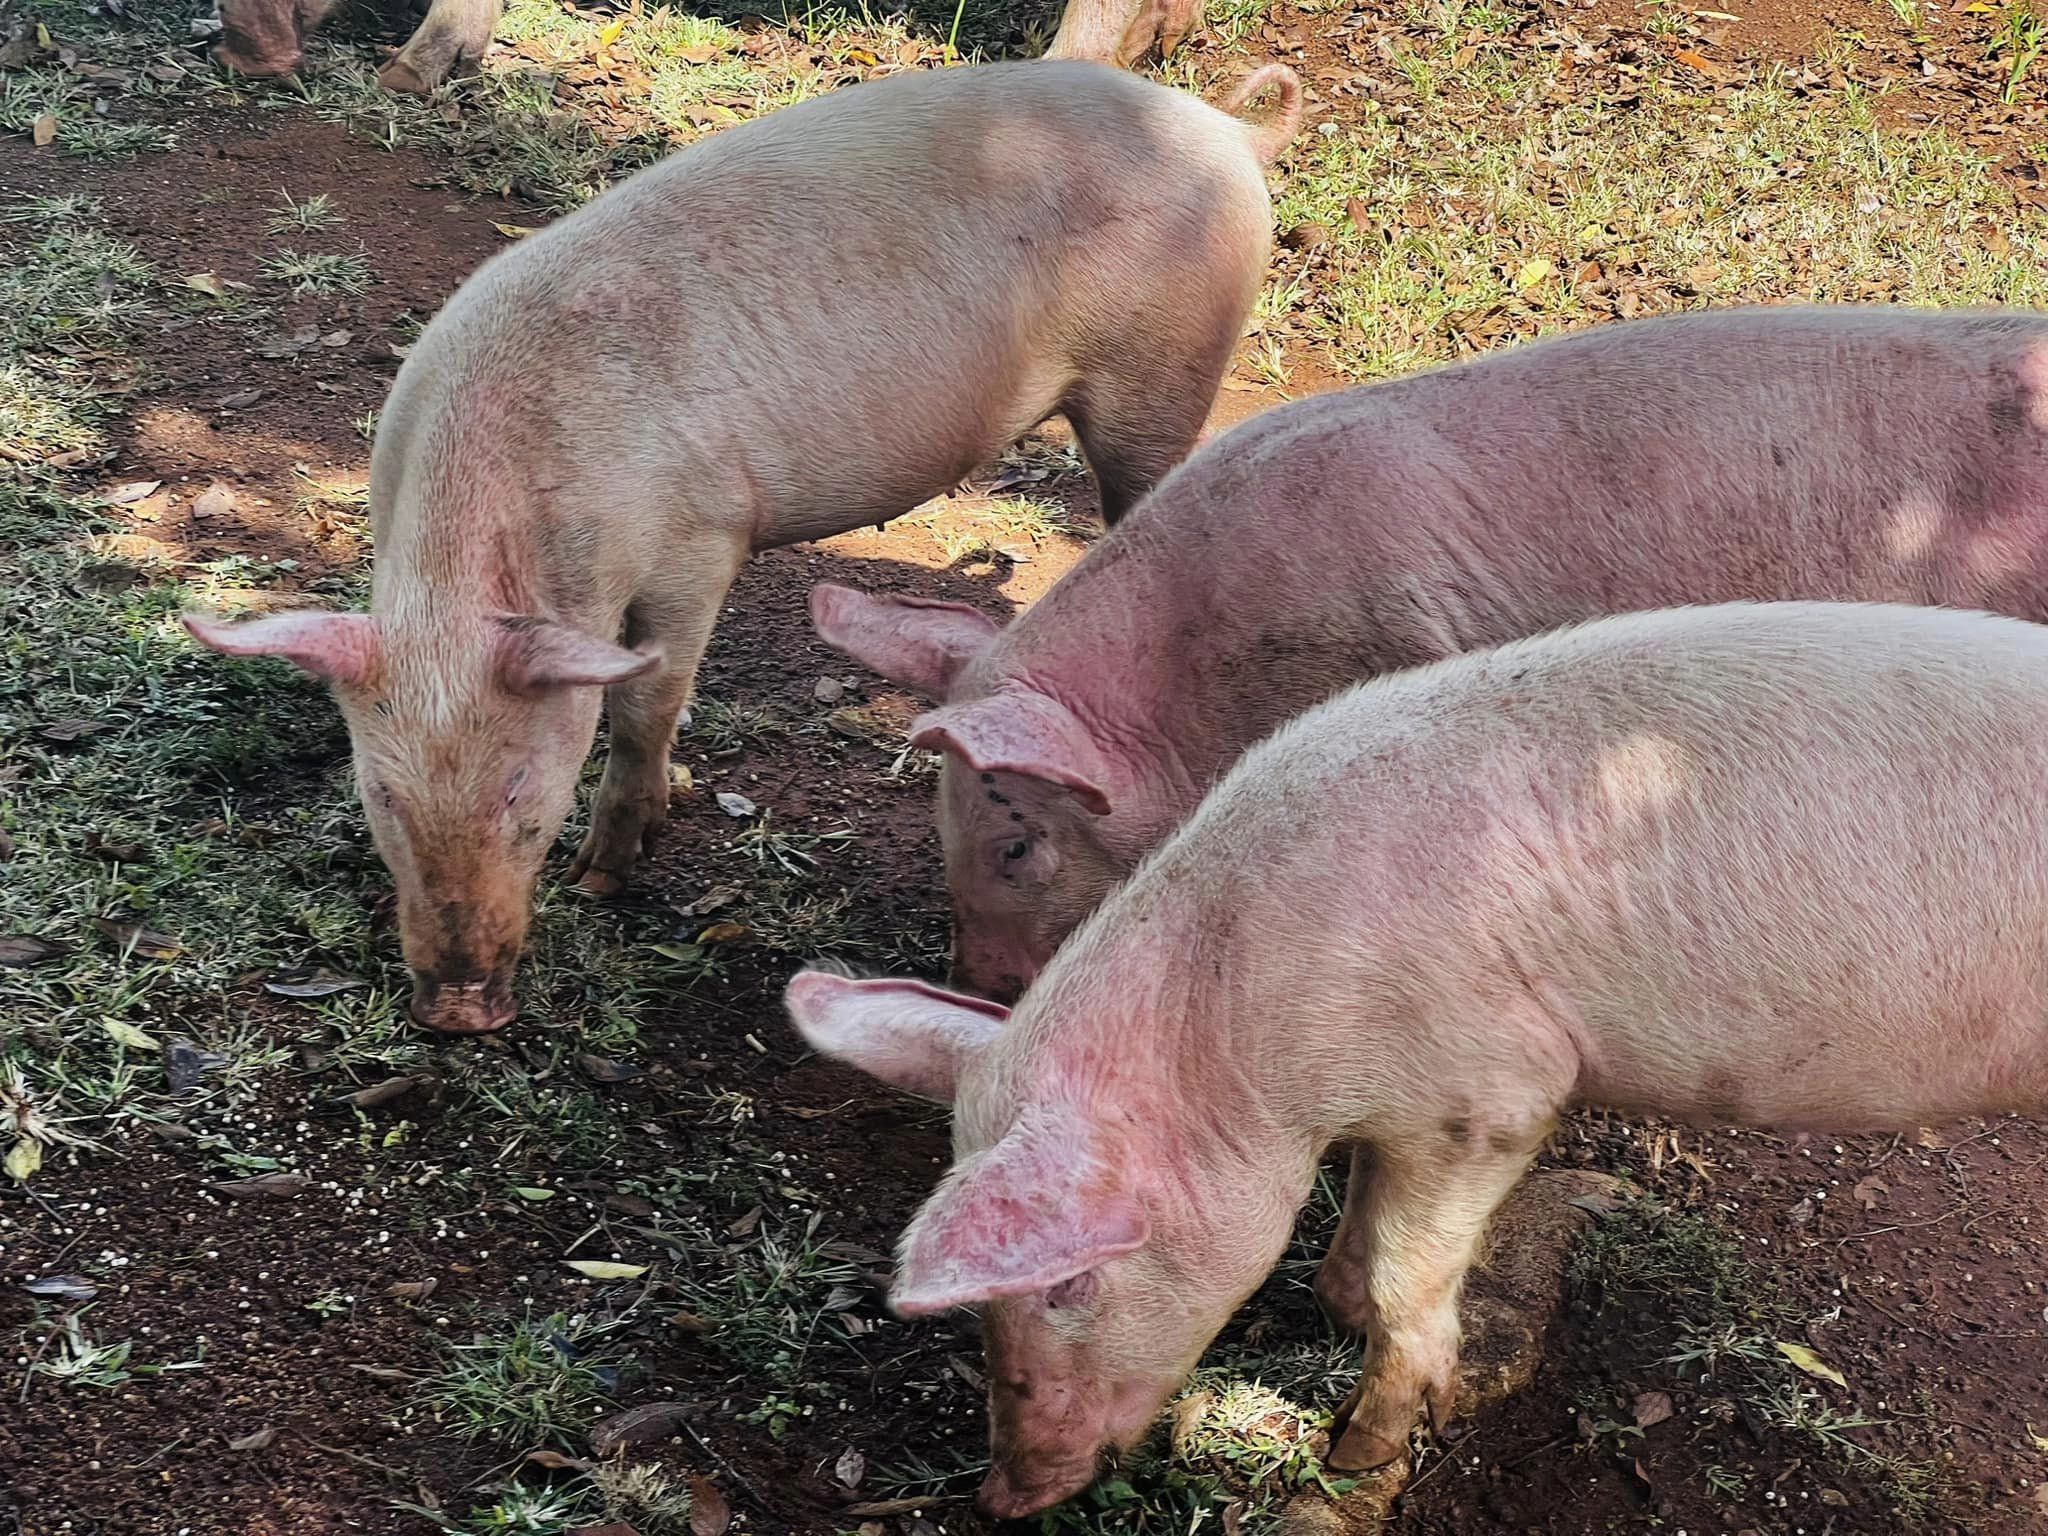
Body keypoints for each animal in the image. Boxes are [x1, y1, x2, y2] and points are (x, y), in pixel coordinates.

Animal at [181, 61, 1302, 1034]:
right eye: (380, 794)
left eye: (521, 792)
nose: (459, 1010)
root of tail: (1226, 130)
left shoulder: (699, 538)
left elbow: (649, 699)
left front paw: (605, 875)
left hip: (1164, 374)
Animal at [786, 598, 2048, 1517]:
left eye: (1065, 1282)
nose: (1003, 1498)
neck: (1240, 1022)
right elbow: (1358, 1210)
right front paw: (1333, 1302)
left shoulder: (1492, 1093)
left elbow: (1413, 1280)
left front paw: (1356, 1453)